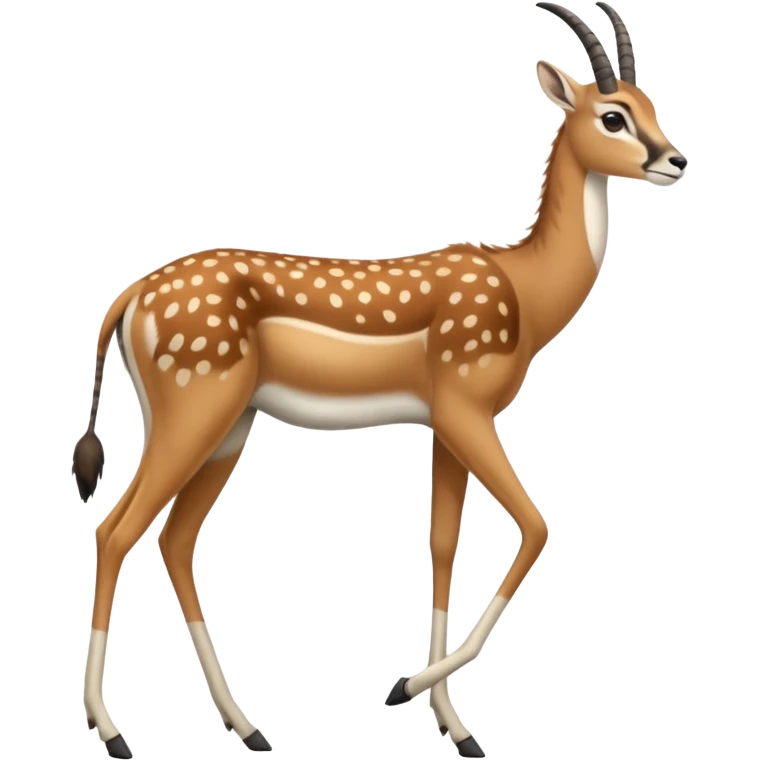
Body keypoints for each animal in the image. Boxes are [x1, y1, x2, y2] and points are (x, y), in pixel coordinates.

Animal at [73, 3, 687, 758]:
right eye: (612, 116)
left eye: (649, 103)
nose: (675, 159)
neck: (525, 289)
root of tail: (128, 298)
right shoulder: (465, 410)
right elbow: (536, 525)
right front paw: (405, 689)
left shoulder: (445, 426)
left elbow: (442, 548)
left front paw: (456, 728)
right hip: (195, 411)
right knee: (115, 529)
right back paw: (113, 732)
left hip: (227, 426)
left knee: (173, 540)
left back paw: (248, 727)